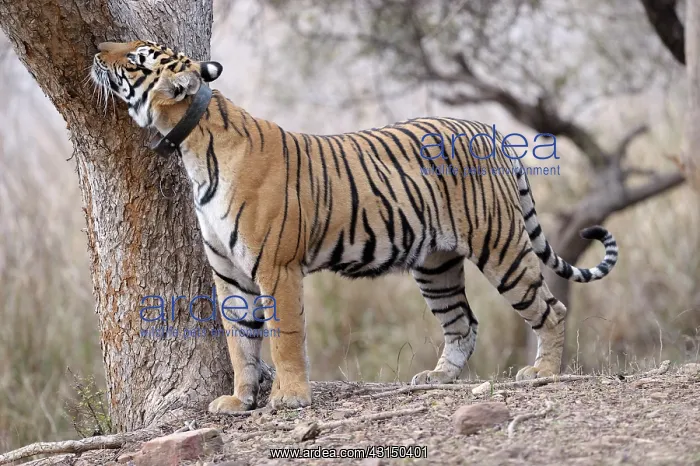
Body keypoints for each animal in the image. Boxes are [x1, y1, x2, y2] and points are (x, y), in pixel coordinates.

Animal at [91, 40, 618, 412]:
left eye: (134, 58)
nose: (96, 51)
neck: (191, 145)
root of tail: (486, 130)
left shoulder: (277, 267)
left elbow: (284, 337)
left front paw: (289, 397)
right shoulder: (229, 273)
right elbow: (240, 341)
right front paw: (239, 400)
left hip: (500, 245)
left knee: (550, 308)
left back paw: (543, 371)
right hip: (435, 264)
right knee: (463, 323)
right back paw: (437, 378)